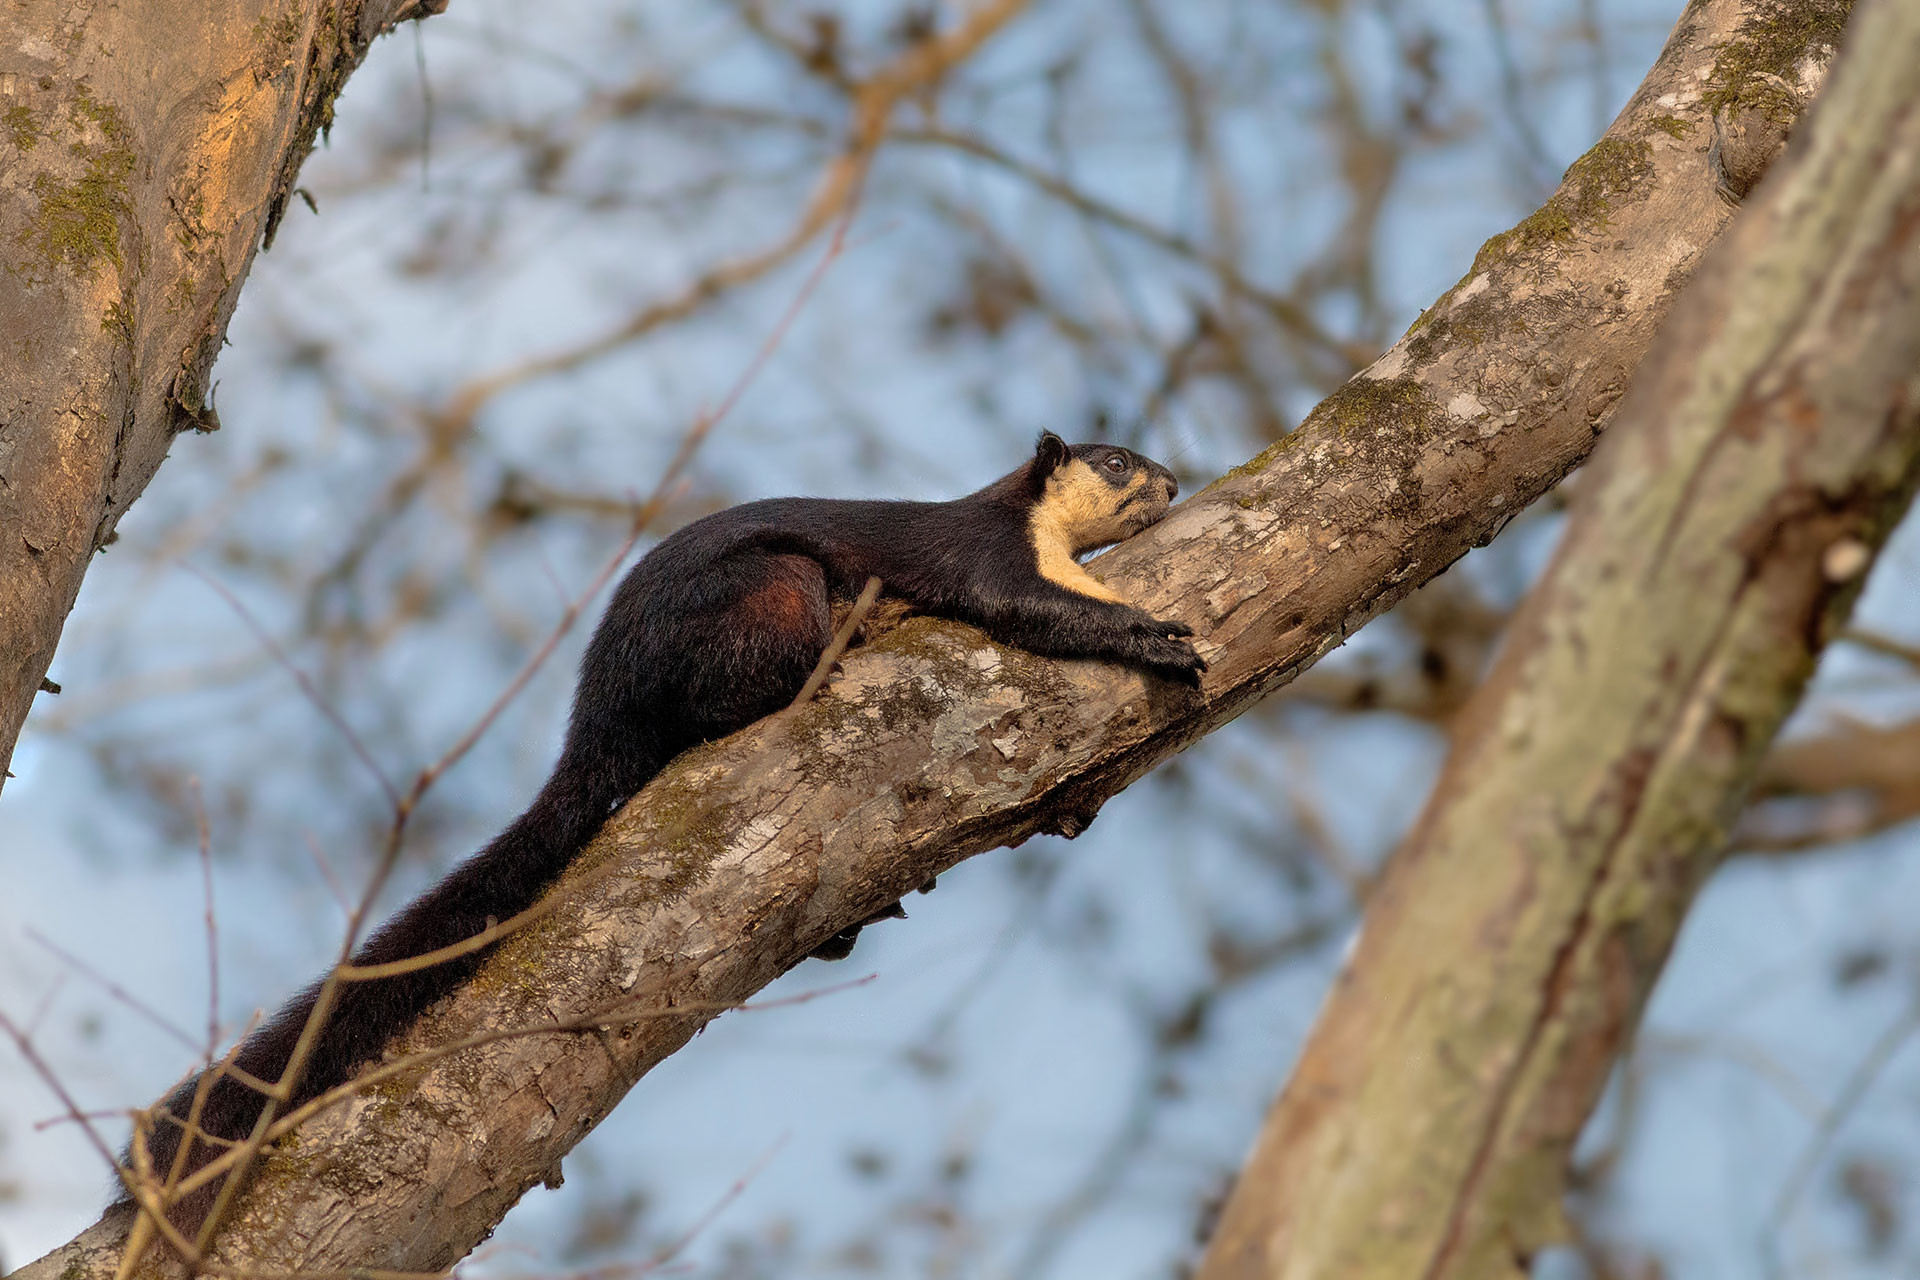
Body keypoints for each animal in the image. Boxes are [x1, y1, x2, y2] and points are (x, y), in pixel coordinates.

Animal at [117, 431, 1204, 1234]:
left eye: (1147, 457)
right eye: (1115, 459)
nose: (1171, 479)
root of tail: (597, 708)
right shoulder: (985, 555)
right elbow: (1035, 610)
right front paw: (1156, 637)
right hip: (769, 589)